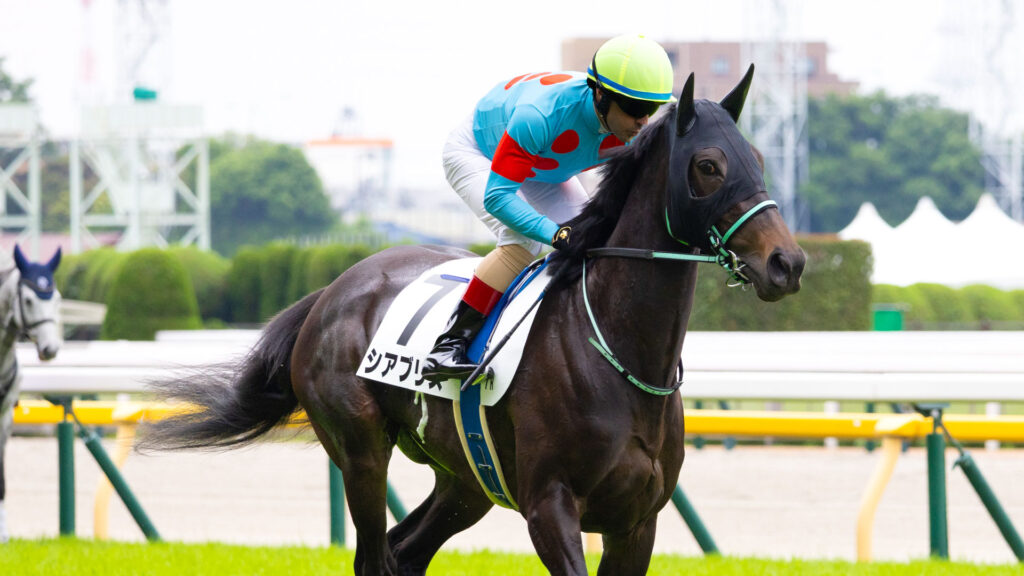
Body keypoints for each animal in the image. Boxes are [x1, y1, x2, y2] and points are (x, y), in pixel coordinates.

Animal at [141, 67, 805, 575]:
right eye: (709, 166)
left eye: (760, 159)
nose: (788, 263)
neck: (618, 352)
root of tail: (333, 289)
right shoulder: (550, 506)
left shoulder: (636, 522)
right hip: (360, 450)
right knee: (374, 555)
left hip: (466, 480)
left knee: (407, 551)